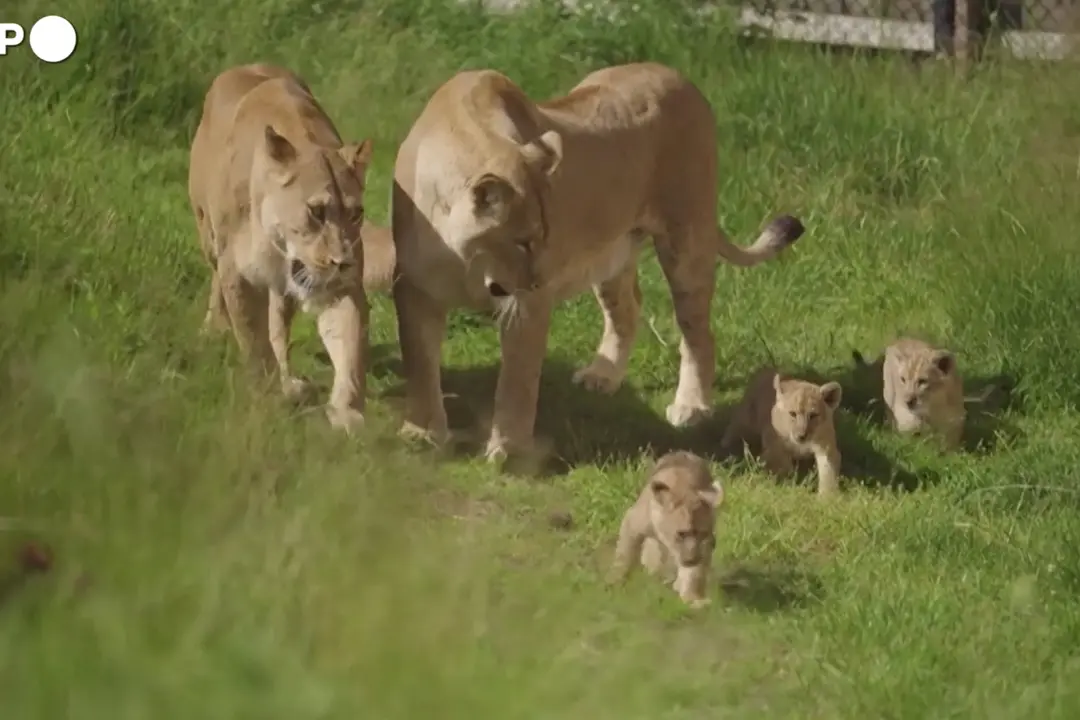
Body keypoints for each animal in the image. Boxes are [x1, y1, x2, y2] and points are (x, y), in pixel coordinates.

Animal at [188, 63, 391, 431]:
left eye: (356, 213)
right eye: (317, 212)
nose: (342, 261)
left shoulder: (341, 286)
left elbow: (350, 345)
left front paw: (347, 412)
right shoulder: (237, 274)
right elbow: (254, 345)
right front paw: (267, 403)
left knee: (278, 326)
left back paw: (291, 383)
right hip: (207, 233)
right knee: (215, 279)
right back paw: (213, 328)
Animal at [390, 62, 805, 461]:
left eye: (544, 236)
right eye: (522, 242)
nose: (541, 281)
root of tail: (683, 79)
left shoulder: (526, 307)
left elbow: (518, 382)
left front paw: (509, 451)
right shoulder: (412, 287)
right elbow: (421, 365)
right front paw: (423, 435)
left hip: (687, 242)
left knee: (699, 333)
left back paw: (691, 407)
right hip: (610, 256)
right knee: (628, 309)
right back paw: (603, 376)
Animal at [608, 451, 725, 609]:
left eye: (703, 533)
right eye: (681, 533)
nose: (691, 559)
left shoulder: (705, 545)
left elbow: (694, 574)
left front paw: (694, 599)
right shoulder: (633, 521)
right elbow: (624, 554)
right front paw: (614, 582)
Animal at [720, 367, 844, 496]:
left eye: (813, 415)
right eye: (792, 413)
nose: (801, 436)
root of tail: (766, 370)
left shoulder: (826, 448)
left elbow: (828, 470)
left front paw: (827, 496)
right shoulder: (776, 449)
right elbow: (782, 468)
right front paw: (785, 487)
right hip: (745, 417)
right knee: (734, 427)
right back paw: (726, 447)